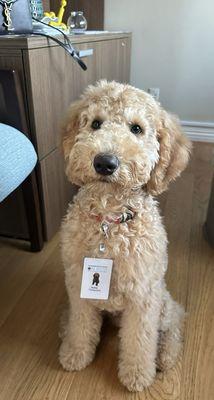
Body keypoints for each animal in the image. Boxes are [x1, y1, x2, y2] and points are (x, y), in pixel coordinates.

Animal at [59, 79, 192, 392]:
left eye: (137, 129)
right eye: (95, 123)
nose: (105, 162)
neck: (110, 223)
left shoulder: (143, 296)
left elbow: (140, 341)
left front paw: (137, 374)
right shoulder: (78, 284)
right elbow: (81, 325)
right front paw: (75, 353)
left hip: (161, 300)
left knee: (174, 321)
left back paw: (165, 356)